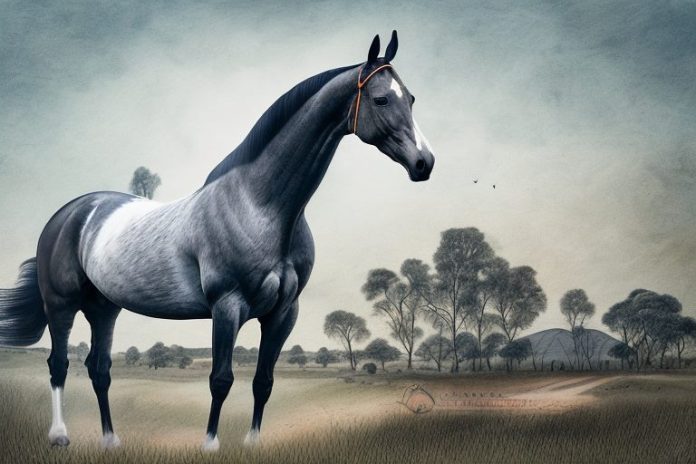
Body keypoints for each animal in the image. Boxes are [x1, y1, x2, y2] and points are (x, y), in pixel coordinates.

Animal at [0, 30, 434, 451]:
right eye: (381, 98)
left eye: (411, 98)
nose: (424, 163)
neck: (259, 205)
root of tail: (71, 212)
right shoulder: (228, 306)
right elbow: (221, 379)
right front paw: (210, 444)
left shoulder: (284, 313)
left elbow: (263, 381)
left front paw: (253, 442)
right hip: (62, 304)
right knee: (59, 365)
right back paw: (60, 435)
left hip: (104, 308)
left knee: (99, 369)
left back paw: (110, 439)